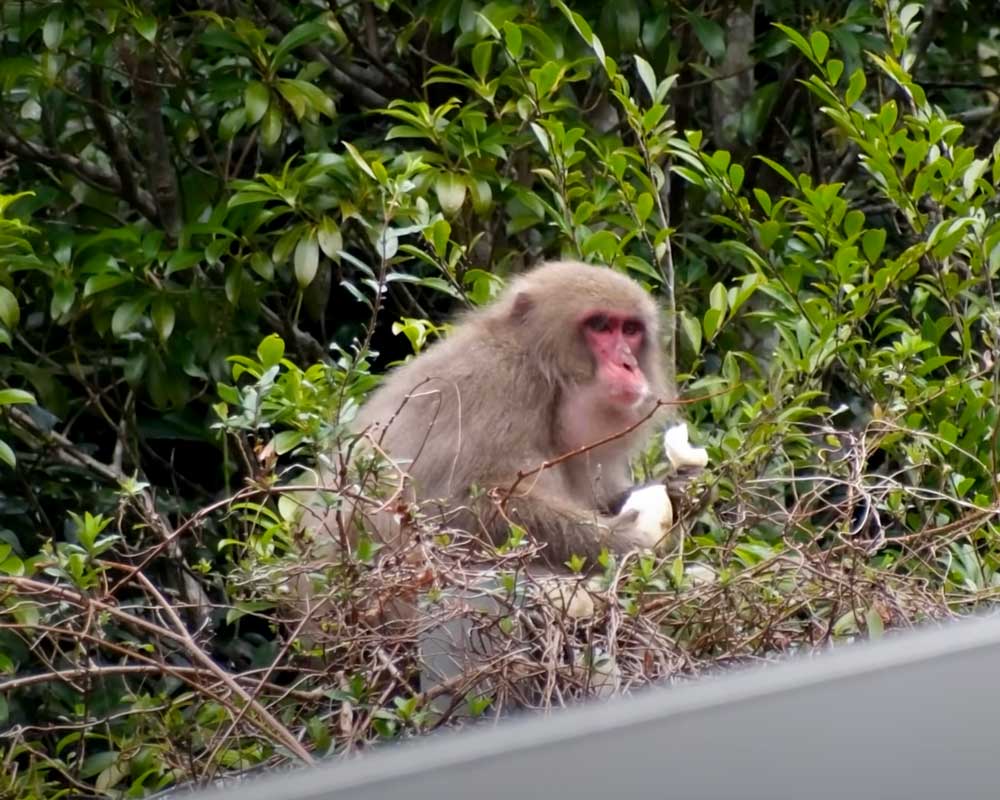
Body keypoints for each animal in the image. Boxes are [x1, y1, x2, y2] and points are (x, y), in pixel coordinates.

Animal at [335, 259, 677, 570]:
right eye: (601, 326)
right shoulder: (497, 382)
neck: (546, 376)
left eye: (630, 330)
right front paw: (619, 539)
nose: (628, 364)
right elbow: (457, 505)